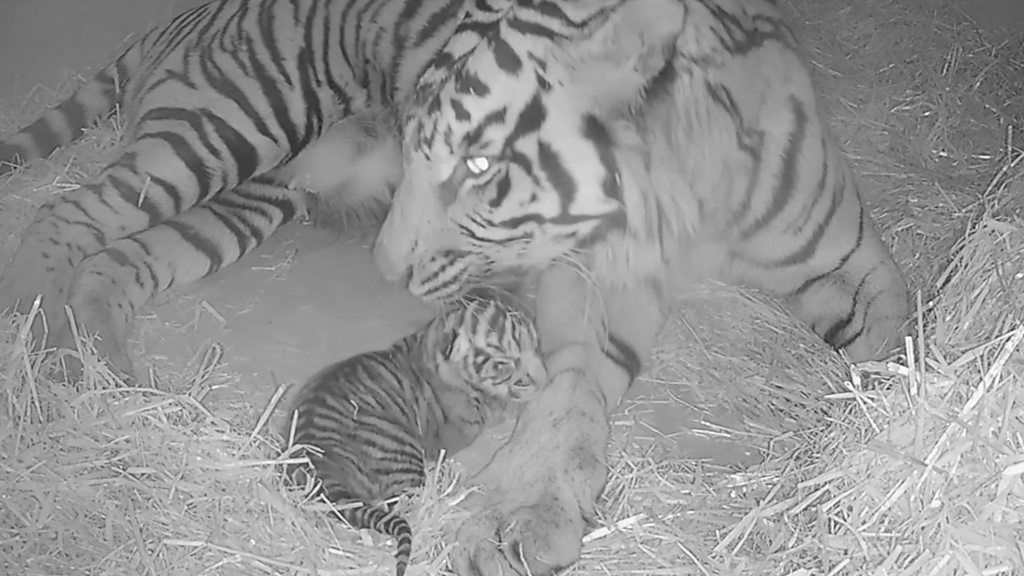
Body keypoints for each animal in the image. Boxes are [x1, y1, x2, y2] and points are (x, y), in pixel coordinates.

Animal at [372, 0, 909, 569]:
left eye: (478, 164)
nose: (385, 269)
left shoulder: (852, 263)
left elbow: (883, 353)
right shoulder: (597, 280)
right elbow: (567, 390)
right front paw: (521, 513)